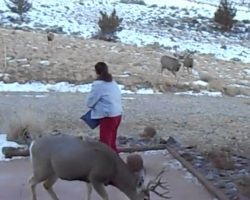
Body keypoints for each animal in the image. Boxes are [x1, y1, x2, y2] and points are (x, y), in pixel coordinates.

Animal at [29, 133, 170, 200]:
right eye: (145, 198)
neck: (114, 171)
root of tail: (32, 144)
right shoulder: (95, 177)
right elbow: (106, 197)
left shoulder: (88, 178)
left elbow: (89, 193)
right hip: (42, 168)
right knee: (31, 181)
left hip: (54, 172)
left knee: (46, 185)